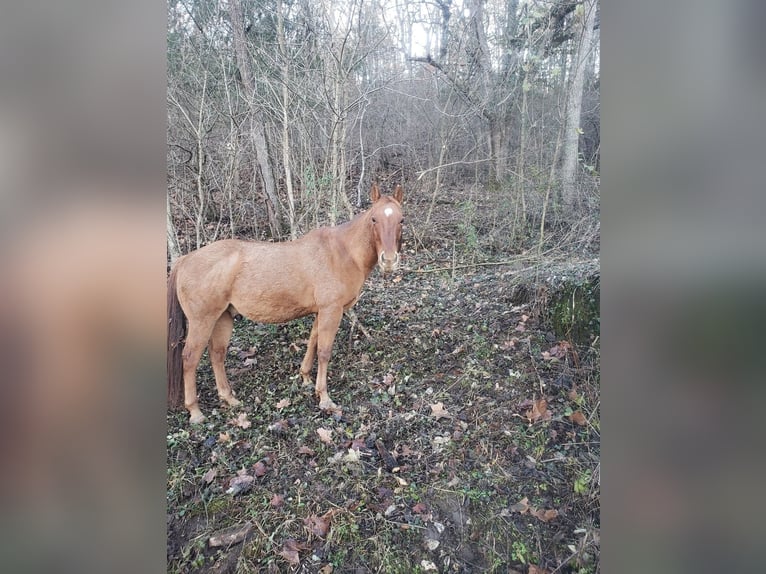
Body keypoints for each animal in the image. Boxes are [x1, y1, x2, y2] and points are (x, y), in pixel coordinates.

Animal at [170, 182, 408, 426]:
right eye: (374, 219)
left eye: (401, 219)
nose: (389, 261)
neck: (342, 253)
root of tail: (184, 260)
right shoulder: (332, 311)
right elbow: (324, 351)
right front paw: (324, 397)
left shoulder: (321, 312)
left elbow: (312, 342)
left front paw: (305, 378)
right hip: (202, 321)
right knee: (190, 359)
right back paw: (195, 411)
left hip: (222, 318)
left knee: (217, 355)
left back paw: (229, 398)